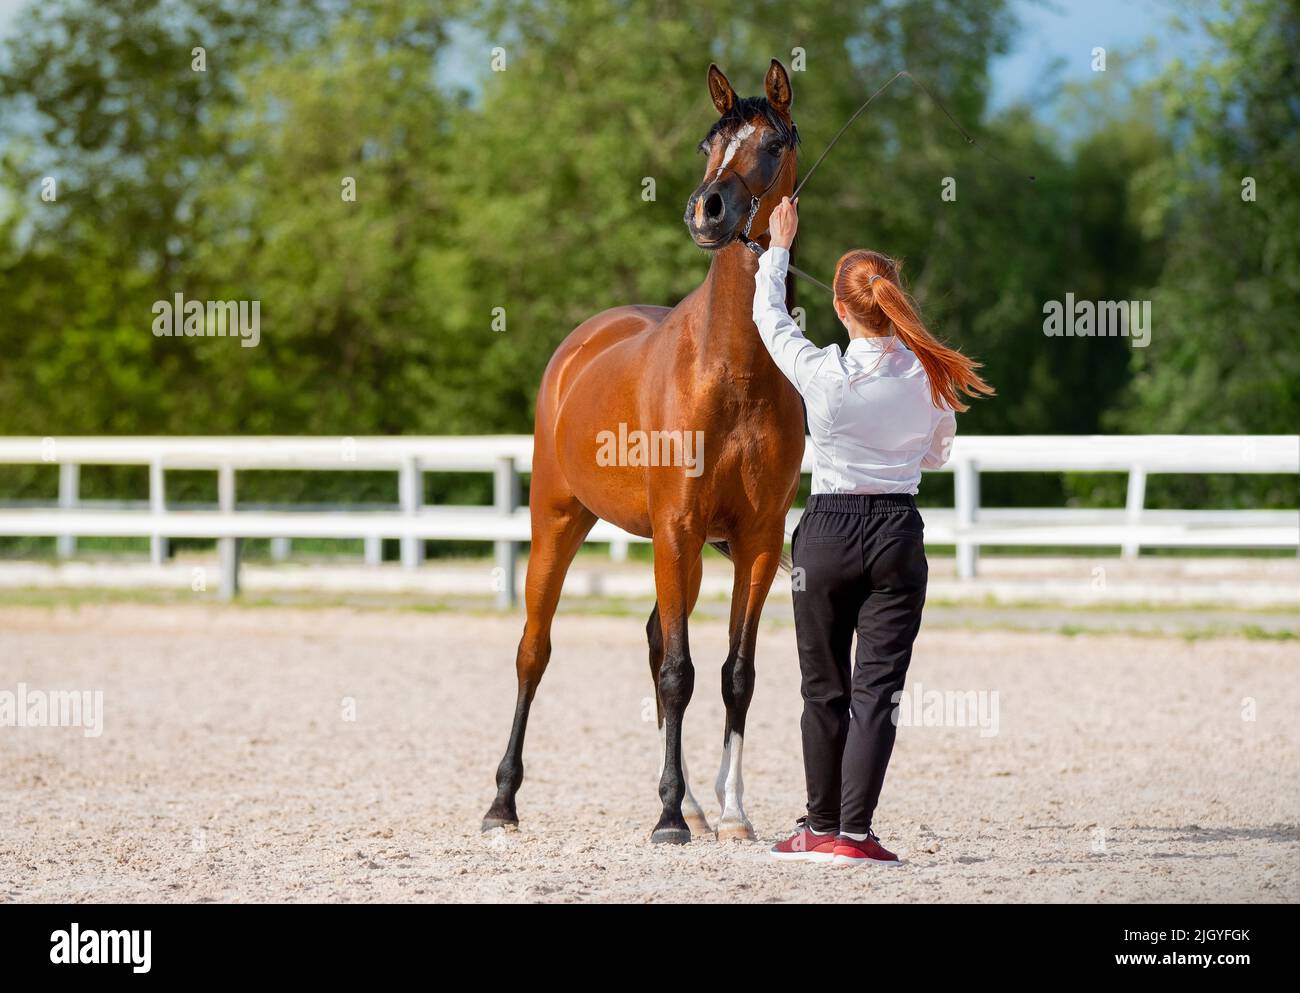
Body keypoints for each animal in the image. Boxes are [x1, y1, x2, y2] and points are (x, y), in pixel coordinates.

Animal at [483, 58, 800, 842]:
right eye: (708, 143)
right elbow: (680, 673)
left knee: (658, 637)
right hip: (559, 522)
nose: (707, 212)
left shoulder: (755, 540)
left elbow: (735, 673)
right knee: (534, 651)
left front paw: (730, 812)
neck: (733, 367)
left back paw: (693, 802)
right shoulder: (677, 526)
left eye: (772, 143)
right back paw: (503, 802)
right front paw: (667, 820)